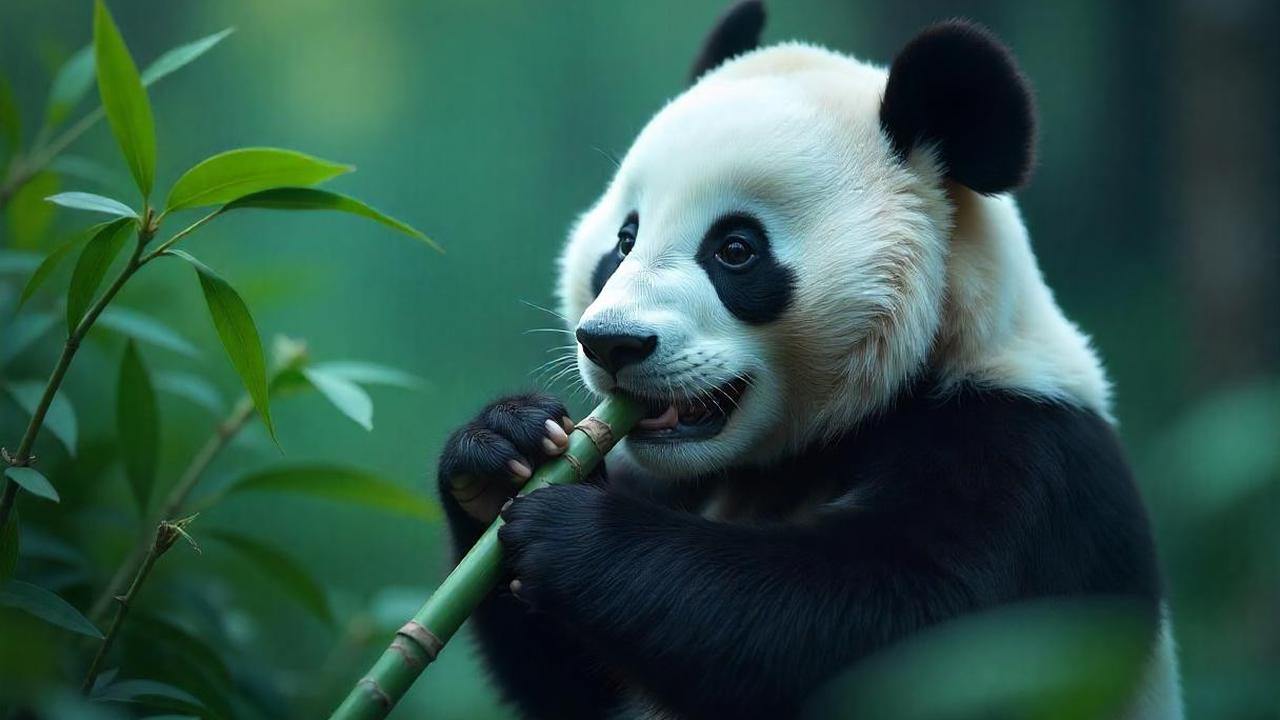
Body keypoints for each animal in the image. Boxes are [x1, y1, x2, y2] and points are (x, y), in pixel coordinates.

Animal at [436, 2, 1182, 718]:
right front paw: (501, 450)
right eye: (624, 241)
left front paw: (574, 534)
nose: (613, 343)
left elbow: (891, 629)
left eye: (736, 249)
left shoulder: (1025, 465)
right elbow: (568, 686)